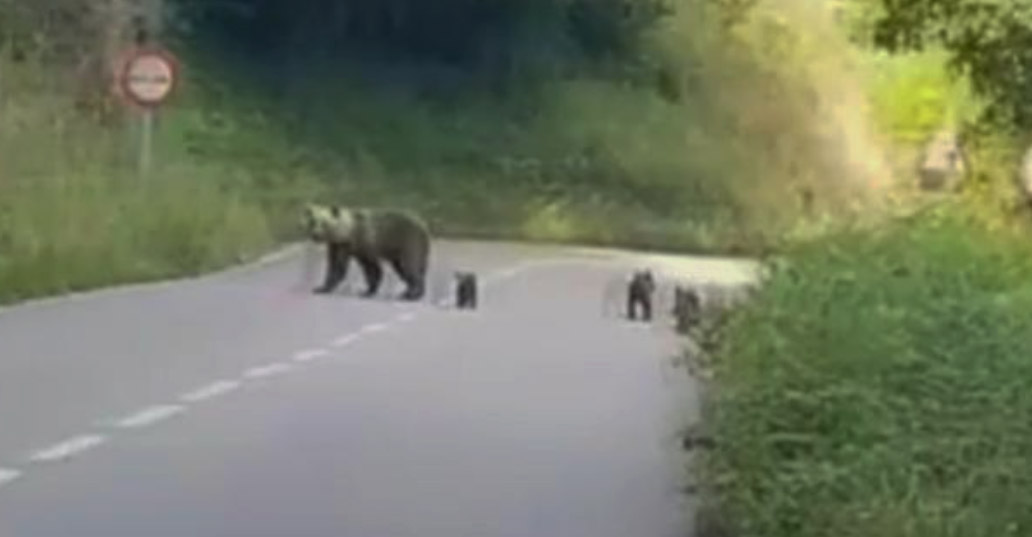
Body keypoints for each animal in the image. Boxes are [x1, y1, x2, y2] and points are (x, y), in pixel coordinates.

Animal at [301, 202, 429, 299]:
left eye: (324, 223)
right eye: (312, 222)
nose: (315, 235)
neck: (349, 233)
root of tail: (423, 225)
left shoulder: (364, 243)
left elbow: (371, 267)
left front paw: (368, 290)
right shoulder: (337, 246)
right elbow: (335, 265)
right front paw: (321, 287)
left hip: (410, 241)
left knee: (411, 266)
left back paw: (413, 295)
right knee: (405, 270)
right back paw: (409, 292)